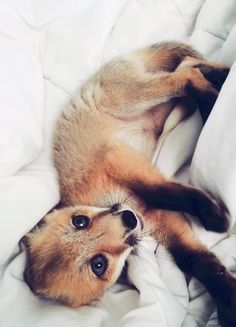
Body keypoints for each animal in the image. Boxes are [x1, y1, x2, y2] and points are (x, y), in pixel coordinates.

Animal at [22, 43, 236, 327]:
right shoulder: (160, 223)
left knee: (185, 76)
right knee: (187, 66)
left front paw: (214, 218)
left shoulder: (118, 159)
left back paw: (214, 94)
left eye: (80, 221)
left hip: (136, 97)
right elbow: (195, 261)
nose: (128, 219)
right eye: (99, 265)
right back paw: (216, 86)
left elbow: (161, 192)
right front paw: (227, 302)